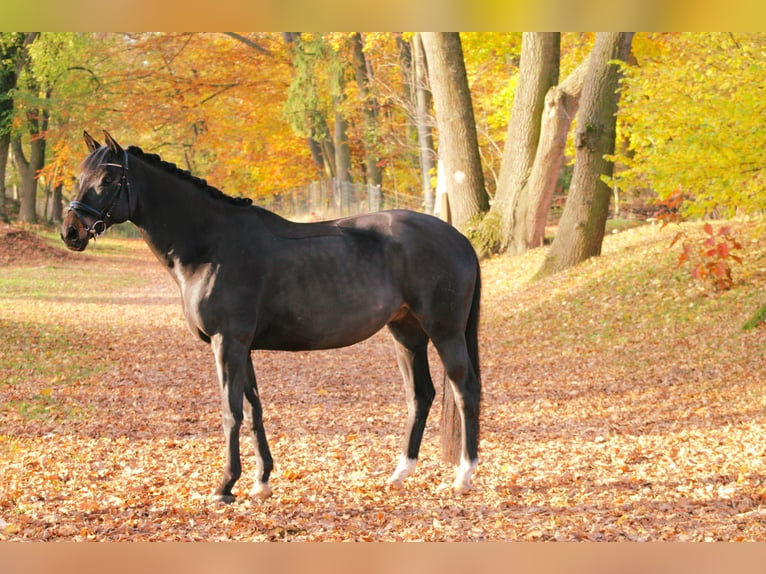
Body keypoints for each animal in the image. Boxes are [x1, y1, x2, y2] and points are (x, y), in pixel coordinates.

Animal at [61, 133, 480, 502]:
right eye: (80, 176)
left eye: (109, 178)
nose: (71, 232)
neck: (210, 245)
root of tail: (459, 238)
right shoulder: (243, 347)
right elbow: (254, 409)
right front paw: (261, 482)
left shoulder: (227, 343)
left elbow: (231, 412)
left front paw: (224, 486)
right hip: (406, 333)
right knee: (420, 395)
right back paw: (400, 474)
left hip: (445, 333)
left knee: (465, 390)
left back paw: (463, 476)